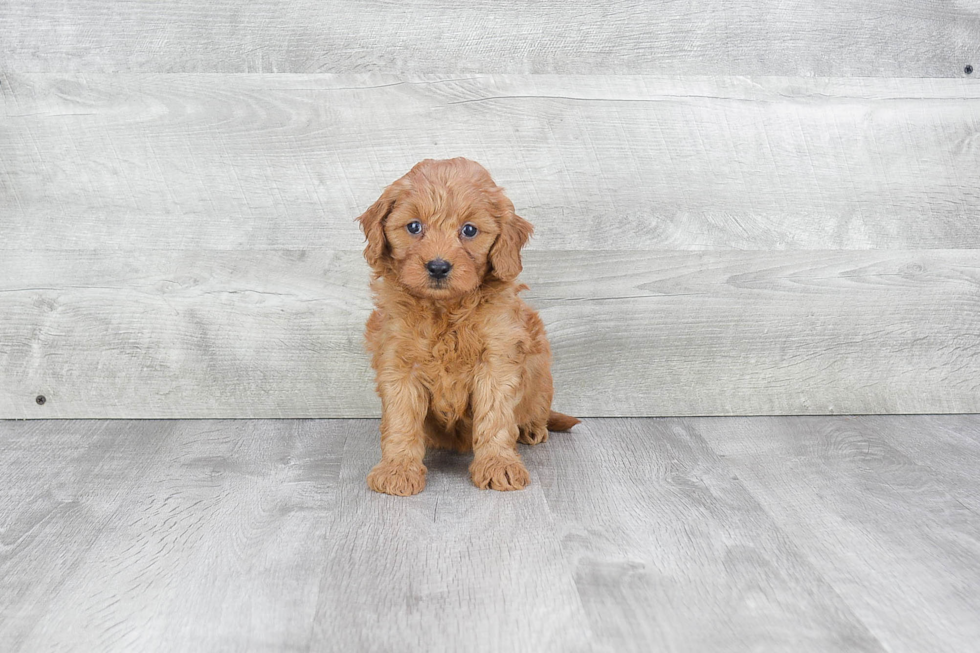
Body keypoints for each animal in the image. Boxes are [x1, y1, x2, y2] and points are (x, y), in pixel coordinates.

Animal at [356, 157, 580, 494]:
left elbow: (495, 417)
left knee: (535, 409)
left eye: (470, 230)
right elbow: (401, 419)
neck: (444, 309)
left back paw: (532, 428)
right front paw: (398, 468)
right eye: (414, 226)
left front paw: (499, 465)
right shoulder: (399, 363)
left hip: (540, 374)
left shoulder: (497, 360)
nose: (438, 267)